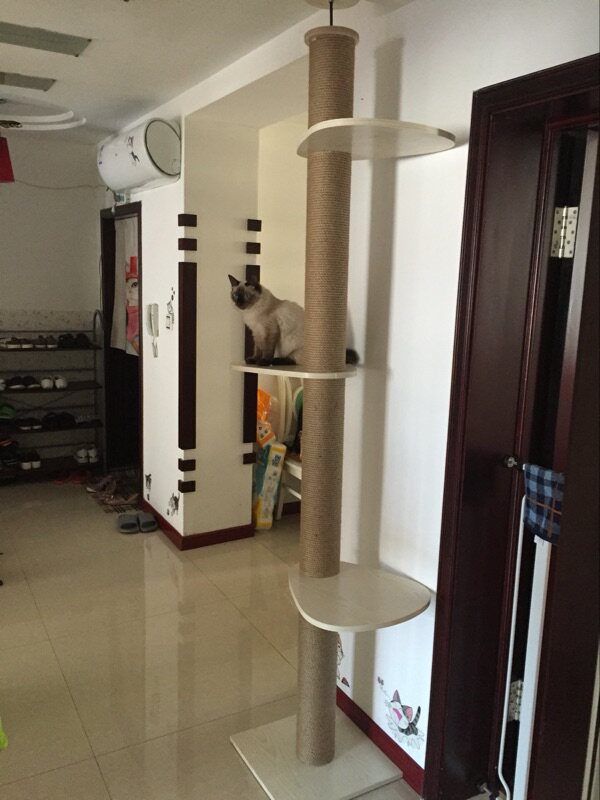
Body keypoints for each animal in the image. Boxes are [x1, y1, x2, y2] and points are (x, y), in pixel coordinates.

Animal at [228, 274, 359, 367]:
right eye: (235, 296)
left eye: (246, 296)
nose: (239, 304)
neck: (251, 313)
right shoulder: (257, 332)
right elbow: (258, 349)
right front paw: (254, 360)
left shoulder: (270, 331)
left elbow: (267, 349)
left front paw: (263, 362)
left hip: (295, 350)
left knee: (292, 360)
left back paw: (275, 361)